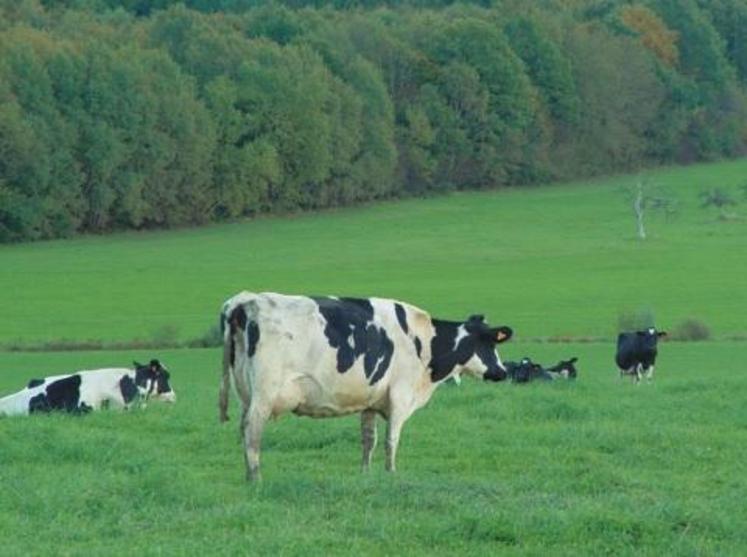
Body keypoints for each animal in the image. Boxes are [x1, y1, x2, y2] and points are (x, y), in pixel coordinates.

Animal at [218, 292, 516, 478]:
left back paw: (246, 476)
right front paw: (391, 473)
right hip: (264, 394)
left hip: (245, 393)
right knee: (252, 432)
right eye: (490, 343)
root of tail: (245, 301)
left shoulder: (372, 400)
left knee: (242, 429)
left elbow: (368, 440)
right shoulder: (400, 395)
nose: (502, 371)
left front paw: (366, 474)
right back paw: (256, 478)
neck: (424, 342)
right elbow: (391, 440)